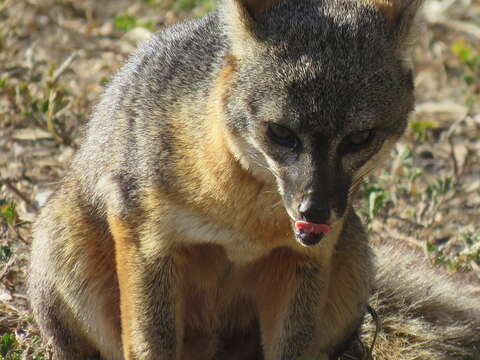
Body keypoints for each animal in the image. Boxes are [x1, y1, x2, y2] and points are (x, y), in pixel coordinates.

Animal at [25, 0, 480, 358]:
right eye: (280, 132)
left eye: (359, 138)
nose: (315, 211)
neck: (243, 221)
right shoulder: (147, 240)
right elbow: (149, 345)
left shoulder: (303, 259)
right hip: (66, 242)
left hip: (352, 257)